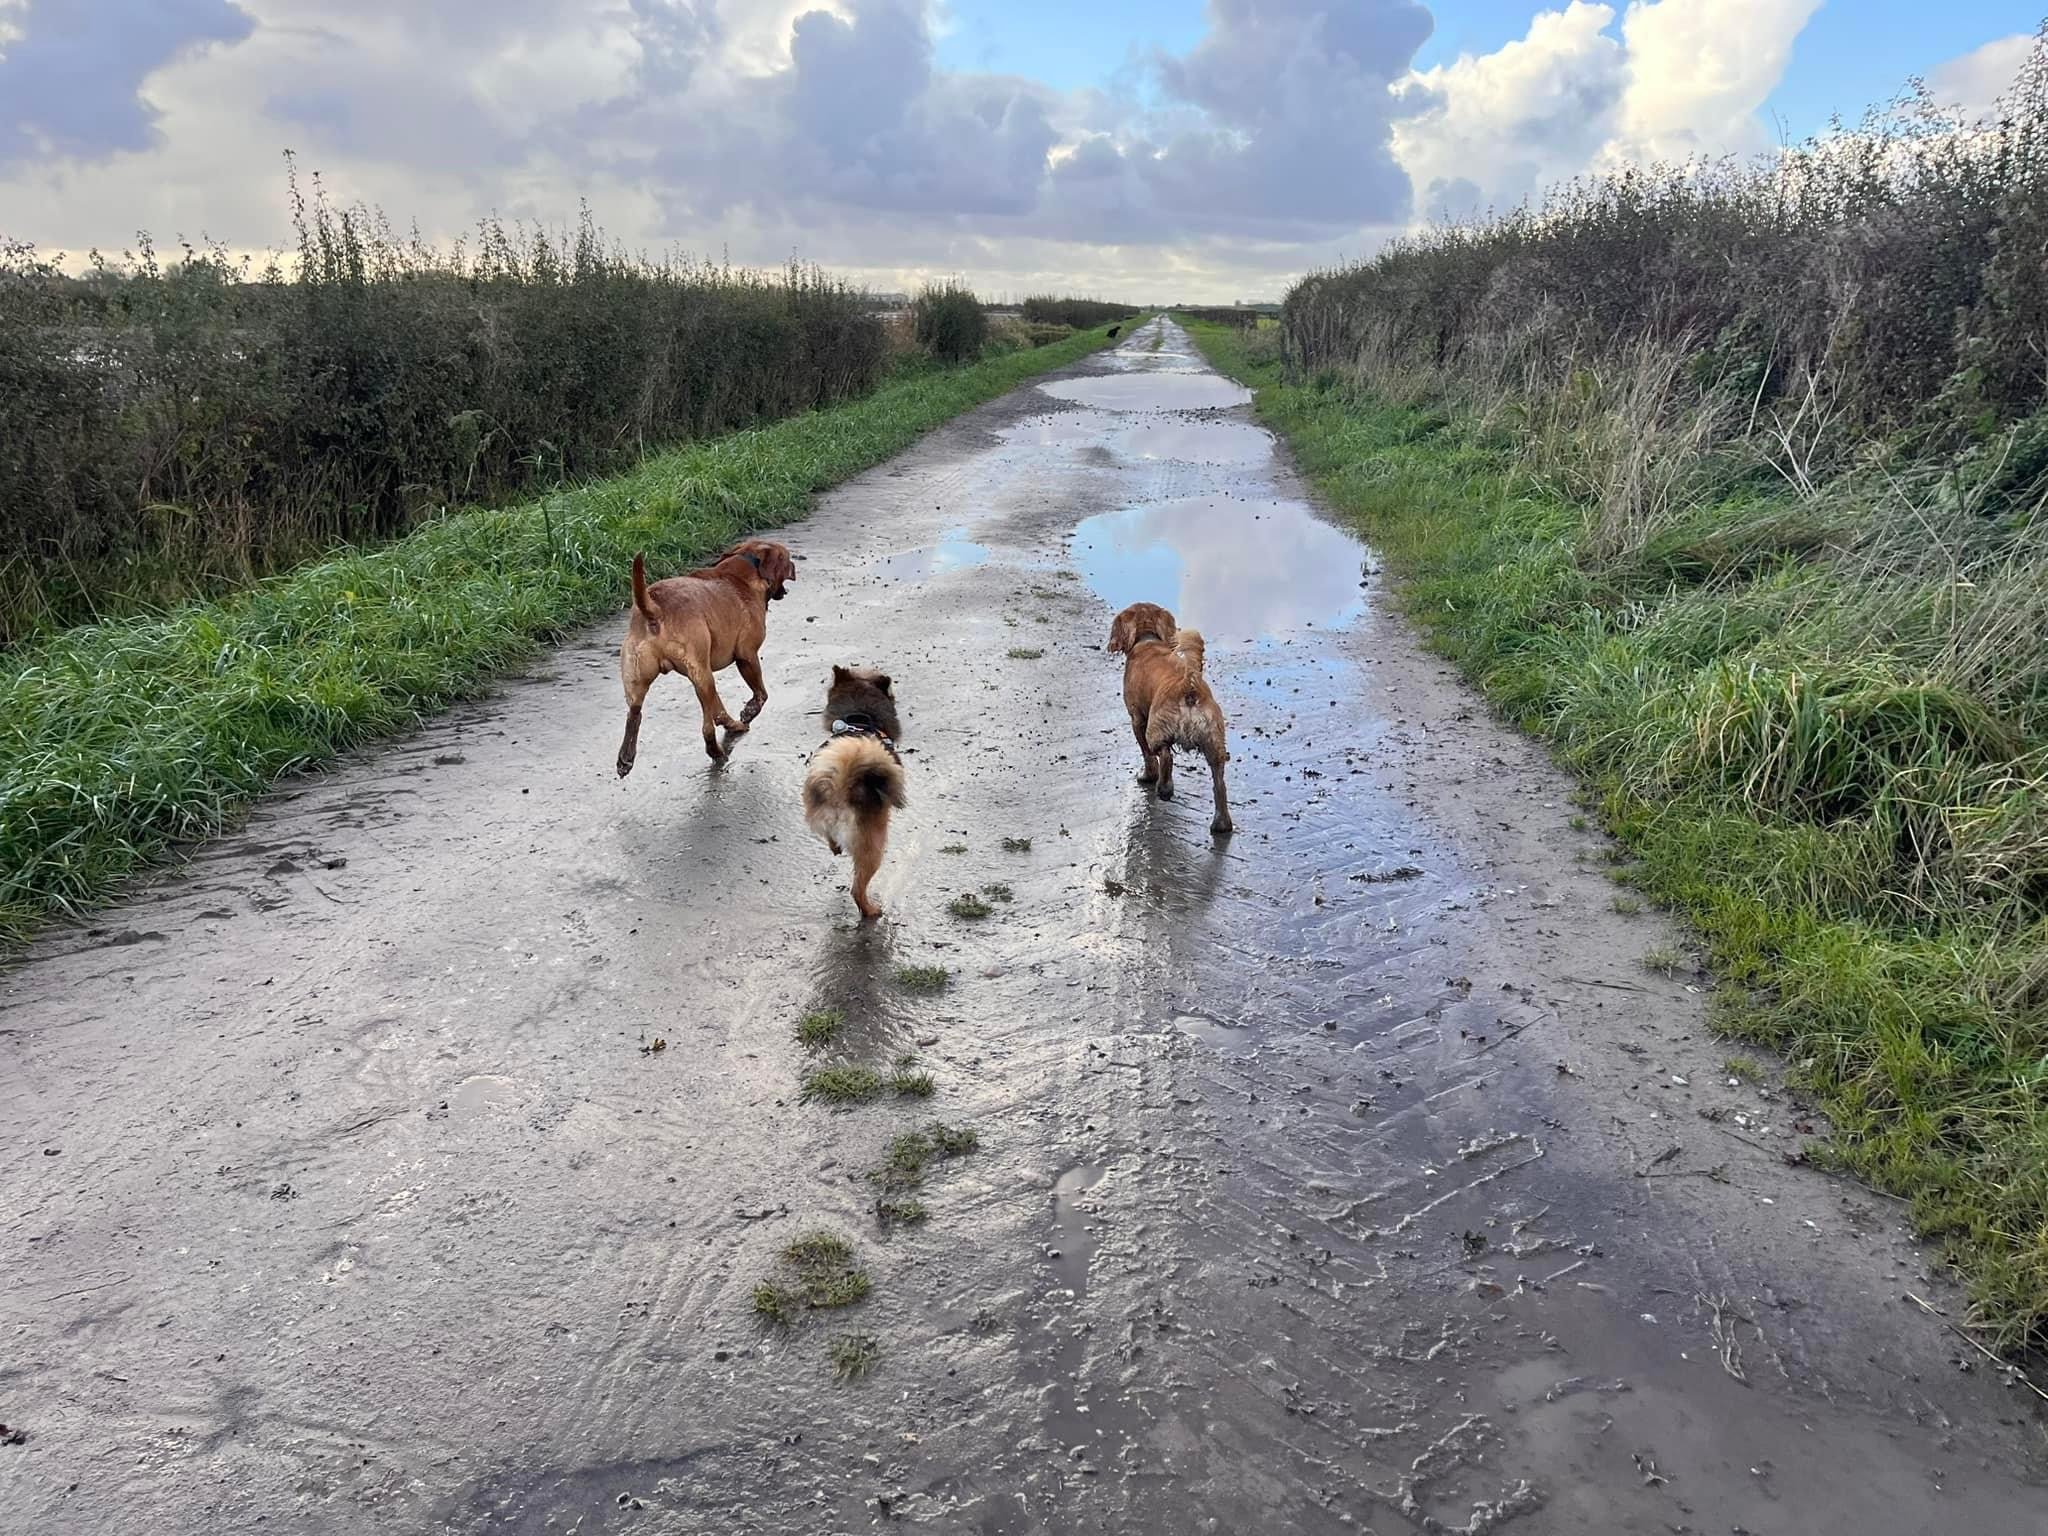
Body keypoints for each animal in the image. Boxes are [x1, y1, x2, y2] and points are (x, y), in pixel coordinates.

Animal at [614, 544, 790, 782]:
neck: (743, 570)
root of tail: (654, 609)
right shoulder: (747, 656)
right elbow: (761, 693)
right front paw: (749, 711)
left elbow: (721, 707)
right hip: (701, 674)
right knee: (707, 727)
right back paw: (717, 750)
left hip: (638, 677)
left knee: (635, 713)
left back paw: (626, 758)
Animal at [802, 667, 909, 921]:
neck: (859, 718)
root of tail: (842, 789)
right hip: (873, 845)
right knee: (857, 889)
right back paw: (871, 910)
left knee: (831, 839)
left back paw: (835, 847)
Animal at [1105, 606, 1228, 843]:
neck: (1147, 639)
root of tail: (1188, 687)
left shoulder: (1137, 719)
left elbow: (1147, 754)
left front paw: (1147, 776)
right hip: (1214, 741)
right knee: (1219, 783)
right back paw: (1222, 824)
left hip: (1156, 728)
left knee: (1164, 755)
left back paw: (1164, 789)